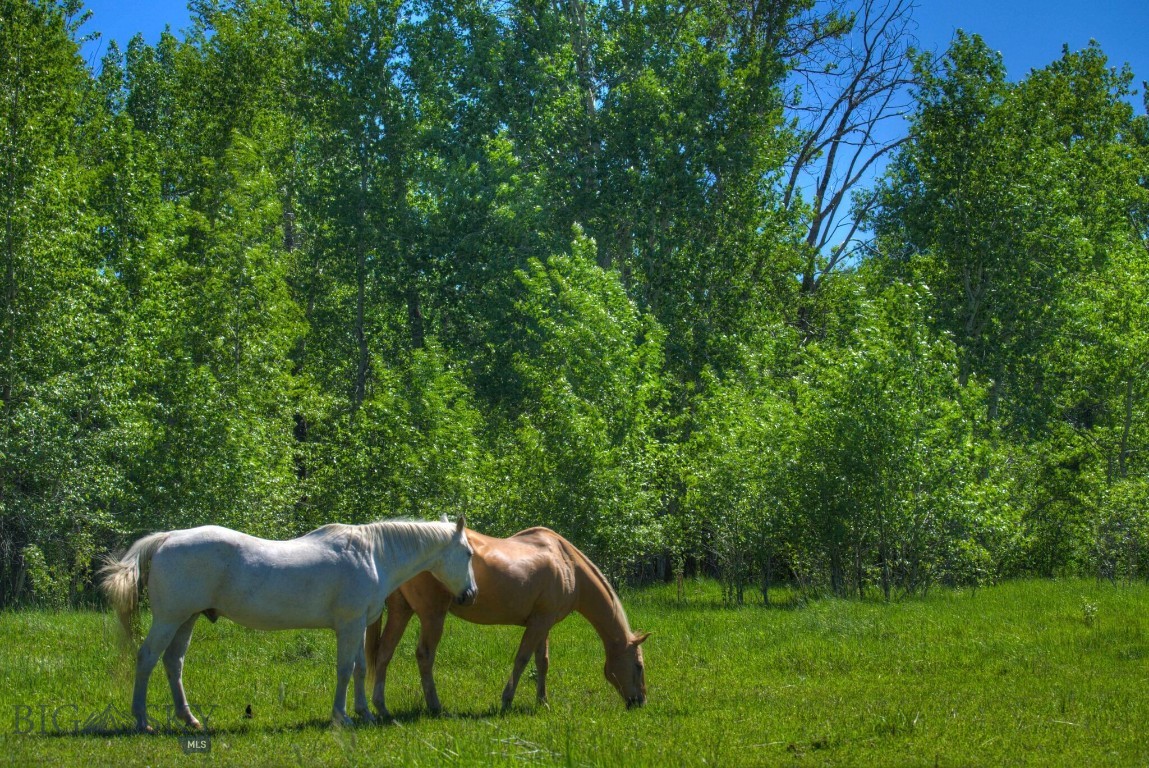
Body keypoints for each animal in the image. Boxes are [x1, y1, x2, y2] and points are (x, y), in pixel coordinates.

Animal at [98, 515, 475, 731]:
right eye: (469, 553)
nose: (470, 593)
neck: (372, 554)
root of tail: (168, 537)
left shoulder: (356, 627)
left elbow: (359, 669)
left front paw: (364, 713)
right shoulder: (349, 625)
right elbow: (344, 670)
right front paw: (342, 716)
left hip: (186, 619)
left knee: (173, 662)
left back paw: (189, 719)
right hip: (169, 618)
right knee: (147, 658)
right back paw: (141, 720)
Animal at [372, 524, 652, 717]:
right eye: (639, 666)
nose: (640, 702)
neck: (567, 563)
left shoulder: (543, 623)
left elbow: (542, 662)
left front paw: (543, 702)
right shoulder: (539, 623)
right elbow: (522, 659)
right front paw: (507, 700)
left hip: (400, 610)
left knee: (384, 653)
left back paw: (381, 707)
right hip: (433, 616)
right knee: (424, 656)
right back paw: (435, 706)